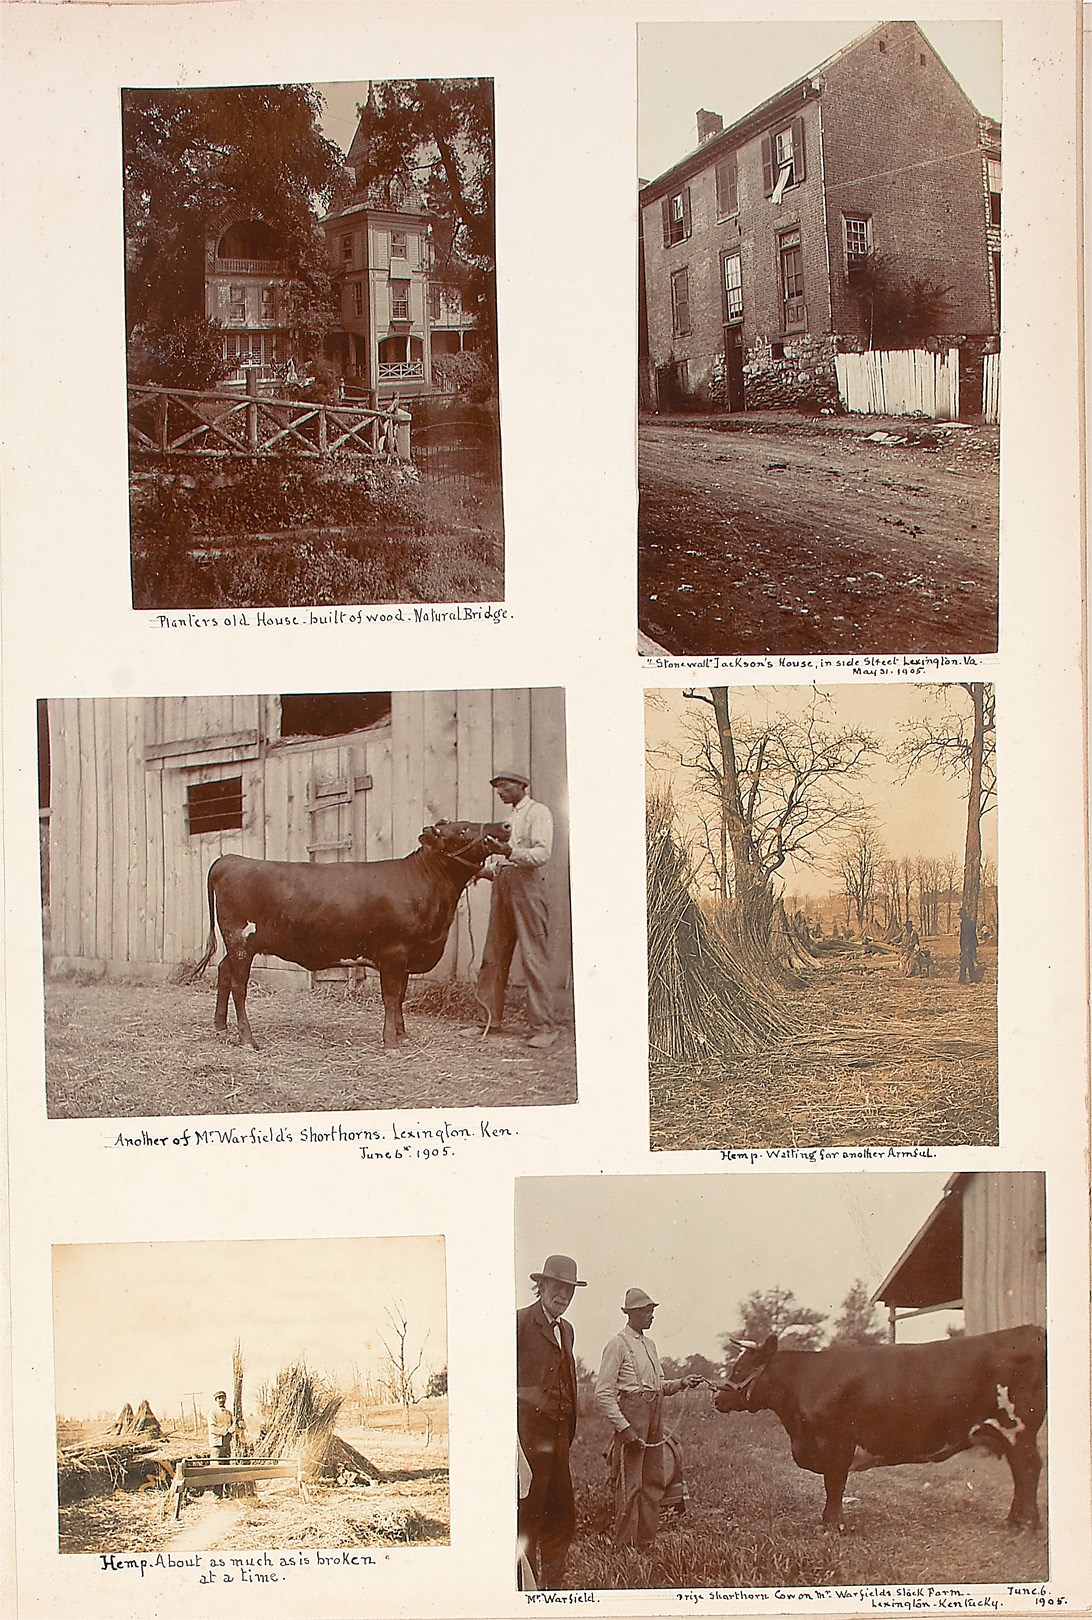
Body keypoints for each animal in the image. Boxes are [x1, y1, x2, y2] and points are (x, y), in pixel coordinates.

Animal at [192, 822, 511, 1049]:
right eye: (463, 829)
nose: (504, 826)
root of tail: (229, 859)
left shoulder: (406, 958)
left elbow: (400, 996)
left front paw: (402, 1035)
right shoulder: (394, 951)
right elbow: (391, 996)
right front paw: (391, 1042)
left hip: (237, 945)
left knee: (223, 971)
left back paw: (220, 1026)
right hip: (241, 941)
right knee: (238, 986)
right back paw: (248, 1040)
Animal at [709, 1328, 1043, 1529]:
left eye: (740, 1368)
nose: (717, 1397)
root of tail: (1027, 1331)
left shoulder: (838, 1444)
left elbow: (834, 1486)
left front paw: (833, 1526)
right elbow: (833, 1487)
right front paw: (827, 1523)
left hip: (1018, 1429)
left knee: (1028, 1469)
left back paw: (1026, 1525)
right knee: (1021, 1472)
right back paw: (1014, 1521)